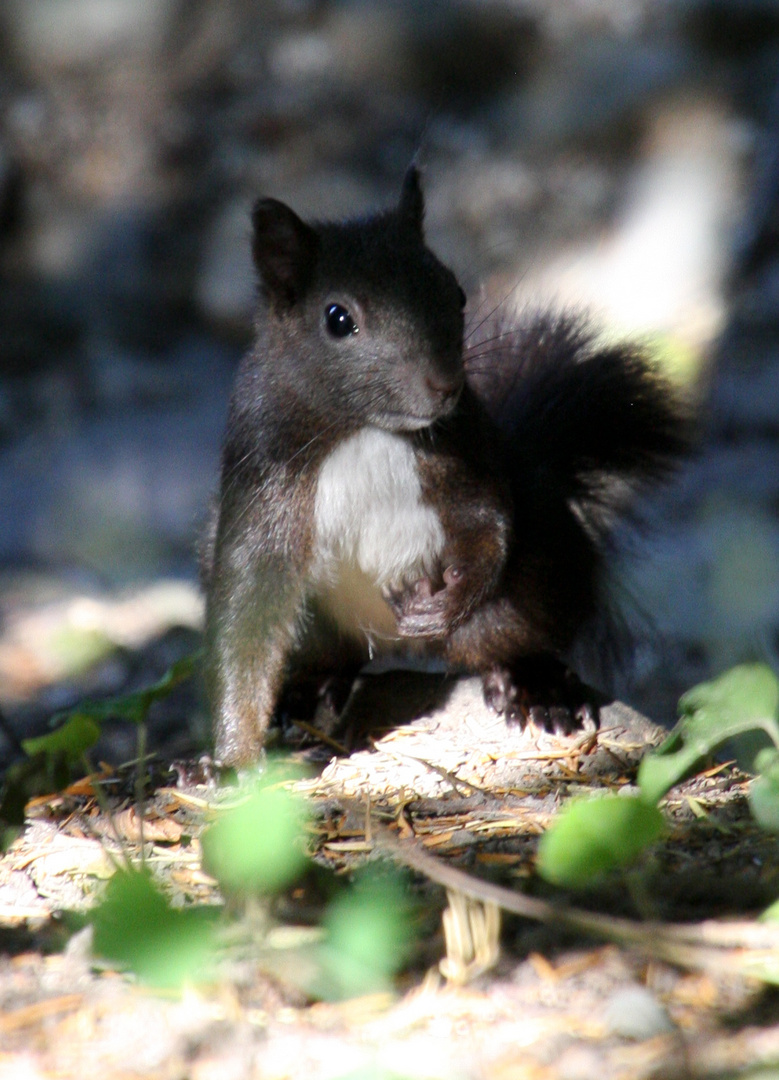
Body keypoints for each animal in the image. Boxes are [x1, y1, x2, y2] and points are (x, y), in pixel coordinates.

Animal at [200, 164, 687, 764]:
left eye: (454, 292)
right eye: (337, 318)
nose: (445, 384)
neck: (365, 427)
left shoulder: (466, 448)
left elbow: (487, 520)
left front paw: (449, 598)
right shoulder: (263, 461)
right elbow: (246, 616)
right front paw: (226, 764)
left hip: (539, 564)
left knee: (510, 633)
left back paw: (537, 687)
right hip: (307, 613)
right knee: (334, 656)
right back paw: (308, 691)